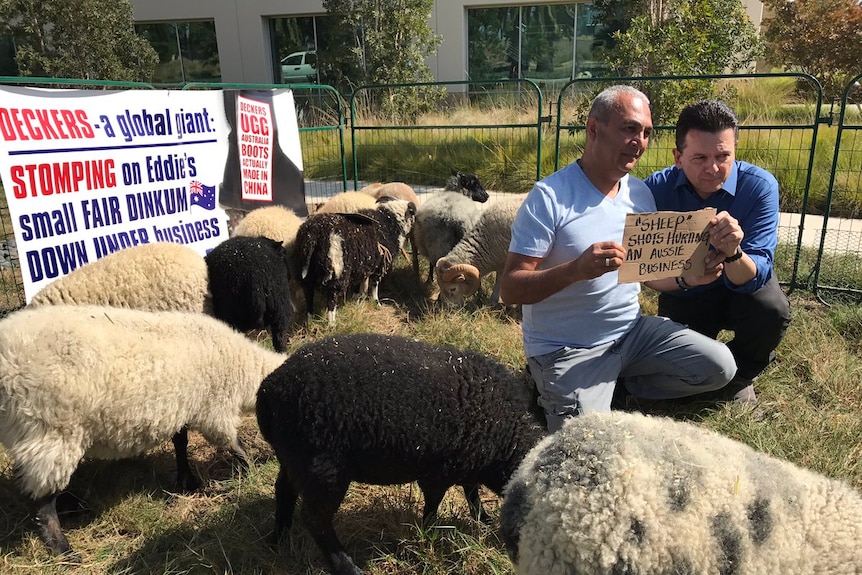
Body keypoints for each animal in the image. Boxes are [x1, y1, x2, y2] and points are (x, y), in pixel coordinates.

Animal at [0, 306, 286, 560]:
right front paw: (251, 472)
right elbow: (234, 444)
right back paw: (63, 550)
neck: (246, 369)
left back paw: (71, 508)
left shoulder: (181, 408)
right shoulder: (215, 409)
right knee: (43, 502)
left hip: (32, 434)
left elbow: (180, 442)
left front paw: (186, 481)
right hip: (52, 430)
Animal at [253, 332, 548, 575]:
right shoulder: (439, 471)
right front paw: (428, 533)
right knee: (316, 519)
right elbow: (434, 503)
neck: (507, 437)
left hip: (294, 457)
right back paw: (346, 566)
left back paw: (279, 538)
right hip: (324, 467)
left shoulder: (469, 460)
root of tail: (270, 388)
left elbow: (471, 490)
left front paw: (482, 518)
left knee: (284, 490)